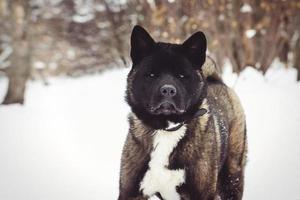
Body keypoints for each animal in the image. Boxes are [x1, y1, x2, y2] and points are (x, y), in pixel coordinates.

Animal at [118, 25, 247, 199]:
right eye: (151, 74)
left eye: (182, 75)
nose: (168, 90)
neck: (166, 129)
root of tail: (217, 80)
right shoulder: (130, 193)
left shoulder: (204, 194)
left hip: (232, 177)